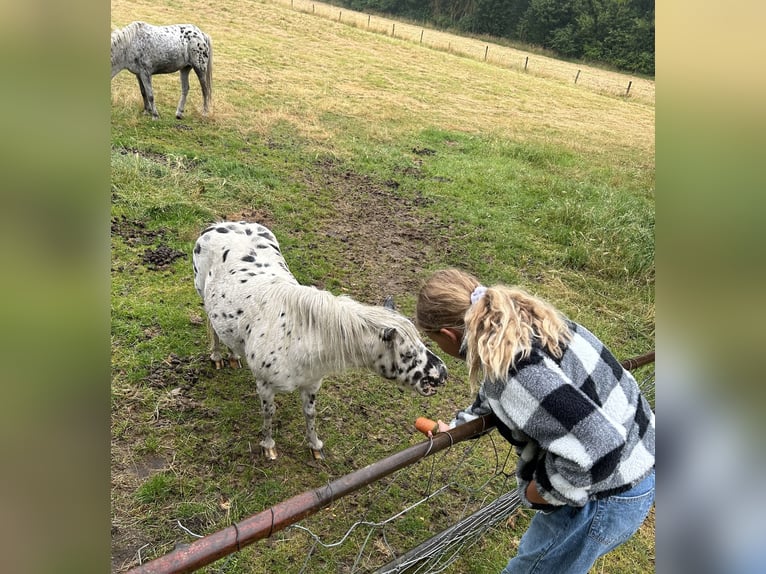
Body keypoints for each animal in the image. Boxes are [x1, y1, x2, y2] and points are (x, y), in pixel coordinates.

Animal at [193, 221, 449, 461]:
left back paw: (234, 356)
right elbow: (269, 413)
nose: (442, 375)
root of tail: (219, 225)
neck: (299, 337)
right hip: (203, 296)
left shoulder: (312, 383)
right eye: (407, 354)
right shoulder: (265, 386)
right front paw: (268, 447)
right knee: (212, 326)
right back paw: (217, 357)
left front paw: (315, 446)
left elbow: (310, 413)